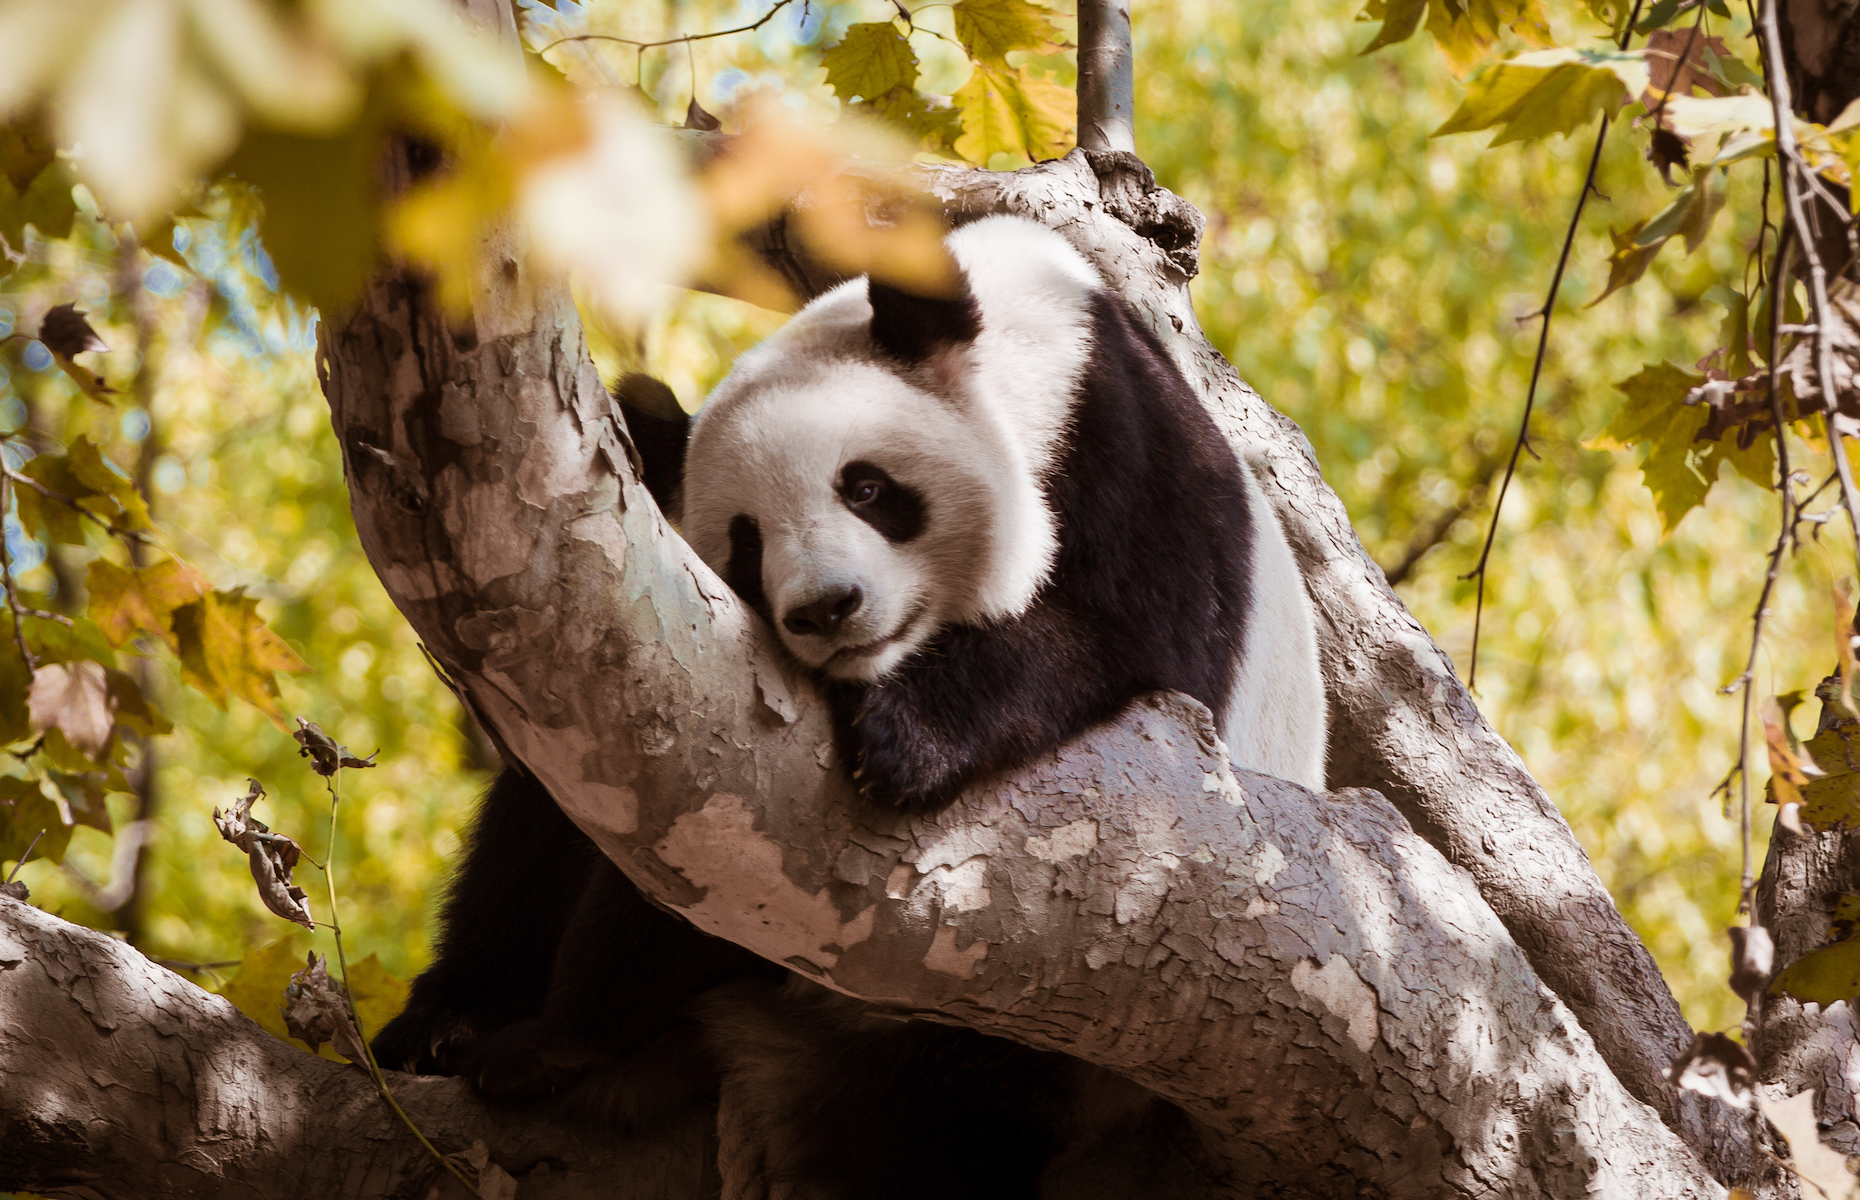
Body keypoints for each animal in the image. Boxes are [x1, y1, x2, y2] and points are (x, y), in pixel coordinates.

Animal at [373, 215, 1327, 1197]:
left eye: (866, 489)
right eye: (745, 545)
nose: (826, 609)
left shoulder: (1128, 451)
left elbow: (1121, 632)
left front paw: (906, 739)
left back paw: (557, 1048)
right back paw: (466, 1029)